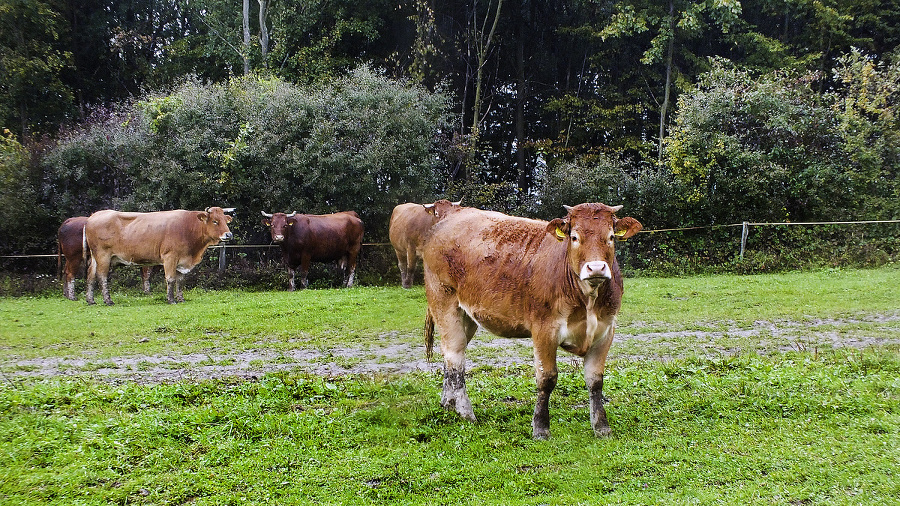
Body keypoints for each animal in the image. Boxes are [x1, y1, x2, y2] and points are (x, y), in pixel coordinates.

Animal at [84, 206, 234, 304]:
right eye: (215, 221)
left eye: (225, 221)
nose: (229, 234)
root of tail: (94, 215)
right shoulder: (170, 257)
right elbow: (171, 279)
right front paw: (171, 299)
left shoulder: (182, 261)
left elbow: (180, 280)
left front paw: (181, 299)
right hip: (103, 255)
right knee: (102, 276)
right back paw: (108, 300)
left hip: (95, 257)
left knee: (90, 276)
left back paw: (91, 300)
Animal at [422, 203, 640, 438]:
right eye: (574, 237)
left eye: (611, 237)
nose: (596, 268)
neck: (588, 300)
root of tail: (453, 212)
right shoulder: (544, 329)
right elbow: (547, 378)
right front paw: (541, 427)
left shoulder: (606, 330)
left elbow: (596, 380)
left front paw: (601, 426)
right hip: (443, 300)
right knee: (455, 355)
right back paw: (464, 411)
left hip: (467, 314)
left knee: (453, 354)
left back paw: (448, 404)